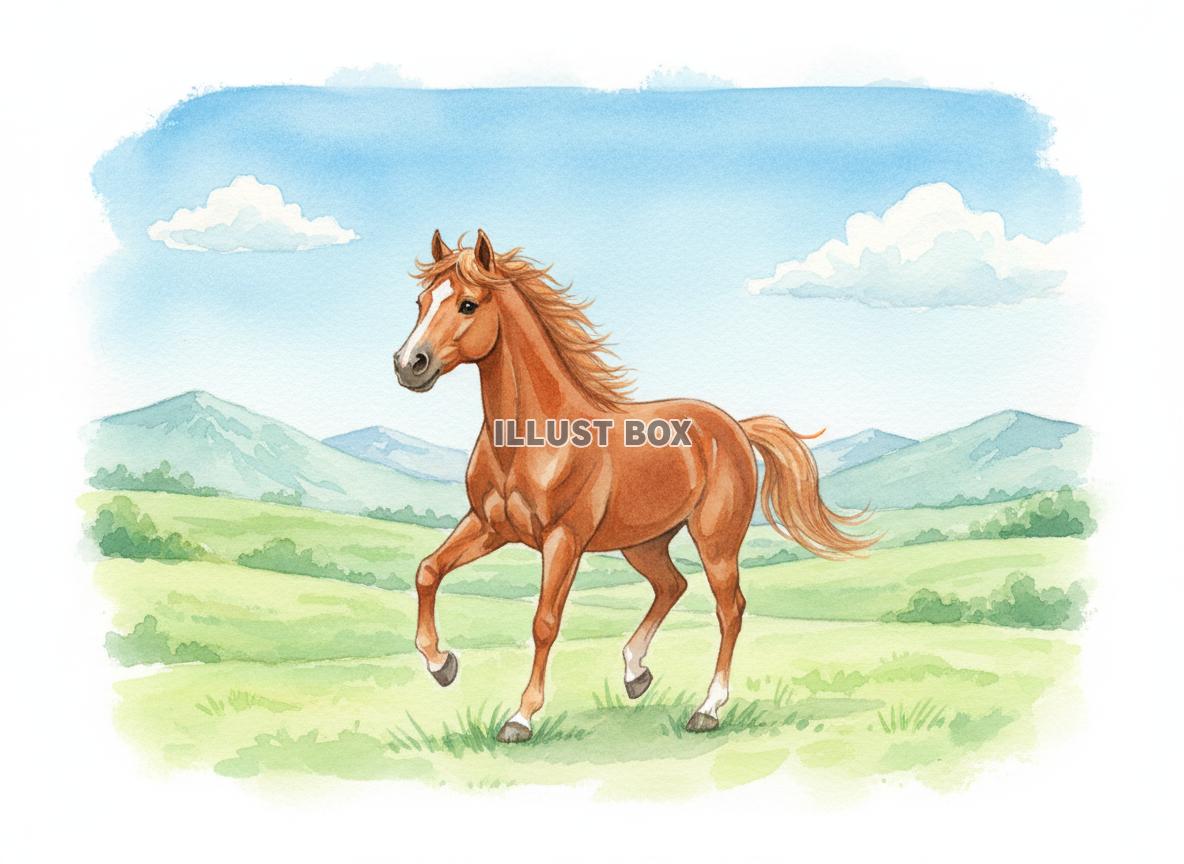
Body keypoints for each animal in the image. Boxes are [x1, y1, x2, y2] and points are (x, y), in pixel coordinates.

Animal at [393, 229, 874, 742]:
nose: (409, 365)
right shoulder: (488, 526)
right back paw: (635, 672)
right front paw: (442, 665)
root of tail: (735, 428)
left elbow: (545, 622)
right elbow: (427, 571)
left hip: (716, 541)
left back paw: (707, 709)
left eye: (468, 304)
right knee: (672, 585)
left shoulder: (563, 540)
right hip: (643, 542)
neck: (532, 439)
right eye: (421, 301)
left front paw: (520, 718)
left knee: (730, 609)